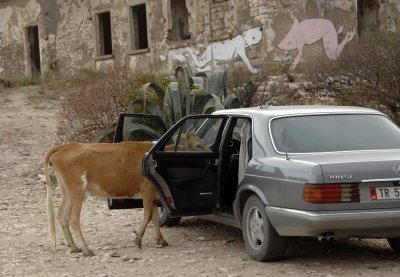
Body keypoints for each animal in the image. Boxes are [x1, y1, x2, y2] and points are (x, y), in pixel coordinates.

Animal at [44, 132, 209, 254]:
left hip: (66, 190)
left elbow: (155, 218)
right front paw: (138, 239)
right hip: (77, 190)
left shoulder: (153, 196)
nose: (212, 155)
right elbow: (148, 216)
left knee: (62, 215)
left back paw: (74, 247)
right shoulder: (147, 191)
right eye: (198, 145)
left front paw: (161, 240)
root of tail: (65, 146)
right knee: (73, 218)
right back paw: (85, 249)